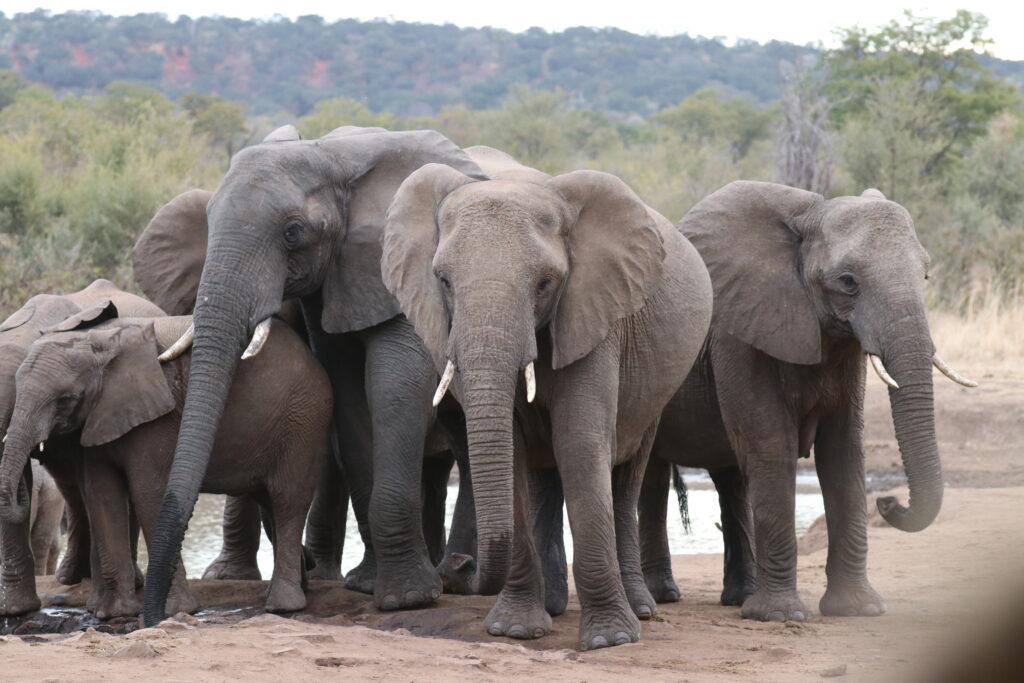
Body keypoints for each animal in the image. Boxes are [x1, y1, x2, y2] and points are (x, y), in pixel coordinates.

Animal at [138, 122, 485, 626]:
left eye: (292, 232)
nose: (155, 619)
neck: (334, 156)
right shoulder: (335, 283)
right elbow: (351, 395)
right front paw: (367, 586)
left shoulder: (397, 266)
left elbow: (394, 387)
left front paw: (407, 598)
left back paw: (464, 577)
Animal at [376, 148, 712, 651]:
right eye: (443, 280)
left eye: (546, 283)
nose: (461, 565)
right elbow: (513, 453)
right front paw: (516, 630)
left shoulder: (595, 316)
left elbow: (579, 445)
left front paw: (610, 640)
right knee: (543, 473)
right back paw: (553, 607)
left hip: (657, 385)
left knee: (626, 475)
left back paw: (641, 612)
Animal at [638, 183, 974, 626]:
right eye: (847, 281)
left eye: (925, 275)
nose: (888, 502)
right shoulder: (738, 335)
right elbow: (771, 446)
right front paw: (780, 617)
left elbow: (844, 452)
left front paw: (859, 610)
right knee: (652, 475)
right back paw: (662, 598)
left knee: (730, 478)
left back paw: (738, 597)